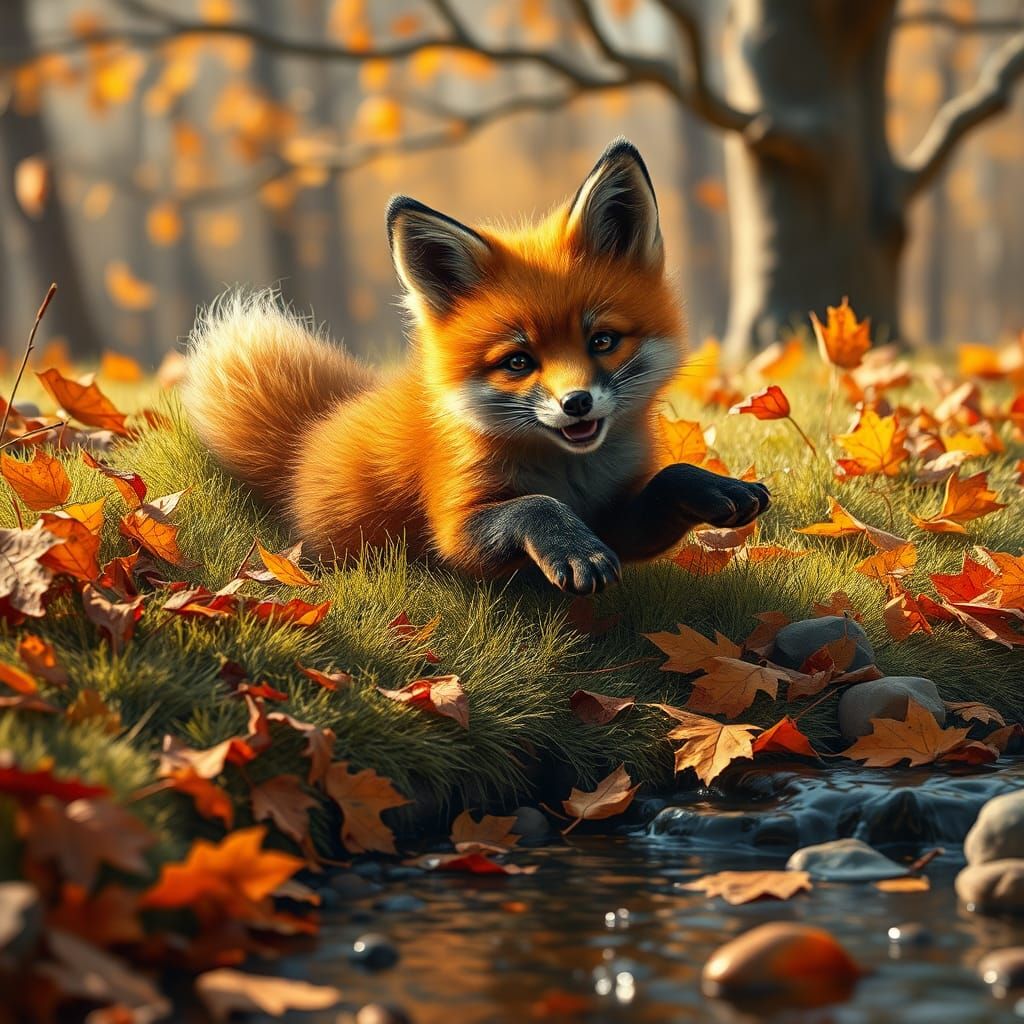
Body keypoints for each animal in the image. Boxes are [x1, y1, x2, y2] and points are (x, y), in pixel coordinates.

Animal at [183, 138, 769, 594]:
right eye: (518, 361)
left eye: (602, 340)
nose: (575, 402)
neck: (571, 475)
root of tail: (309, 438)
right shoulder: (454, 525)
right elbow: (532, 506)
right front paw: (570, 546)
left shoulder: (615, 517)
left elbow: (668, 478)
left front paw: (712, 485)